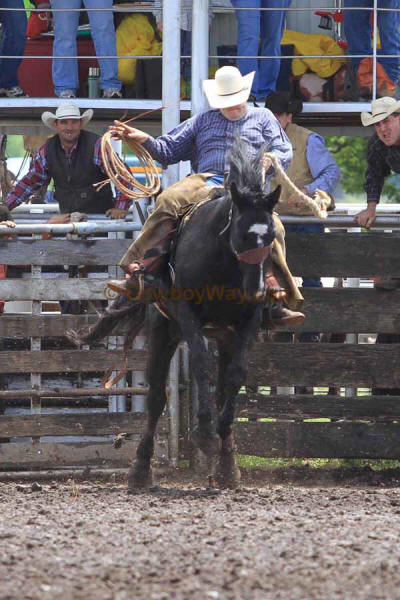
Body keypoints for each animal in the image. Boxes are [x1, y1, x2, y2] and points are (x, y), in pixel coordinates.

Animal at [68, 141, 282, 492]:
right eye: (241, 233)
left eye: (272, 236)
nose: (257, 288)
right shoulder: (187, 312)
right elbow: (199, 364)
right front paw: (205, 434)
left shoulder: (248, 321)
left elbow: (235, 375)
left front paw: (222, 442)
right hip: (163, 330)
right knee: (156, 396)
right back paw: (140, 470)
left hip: (224, 335)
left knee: (222, 384)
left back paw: (227, 468)